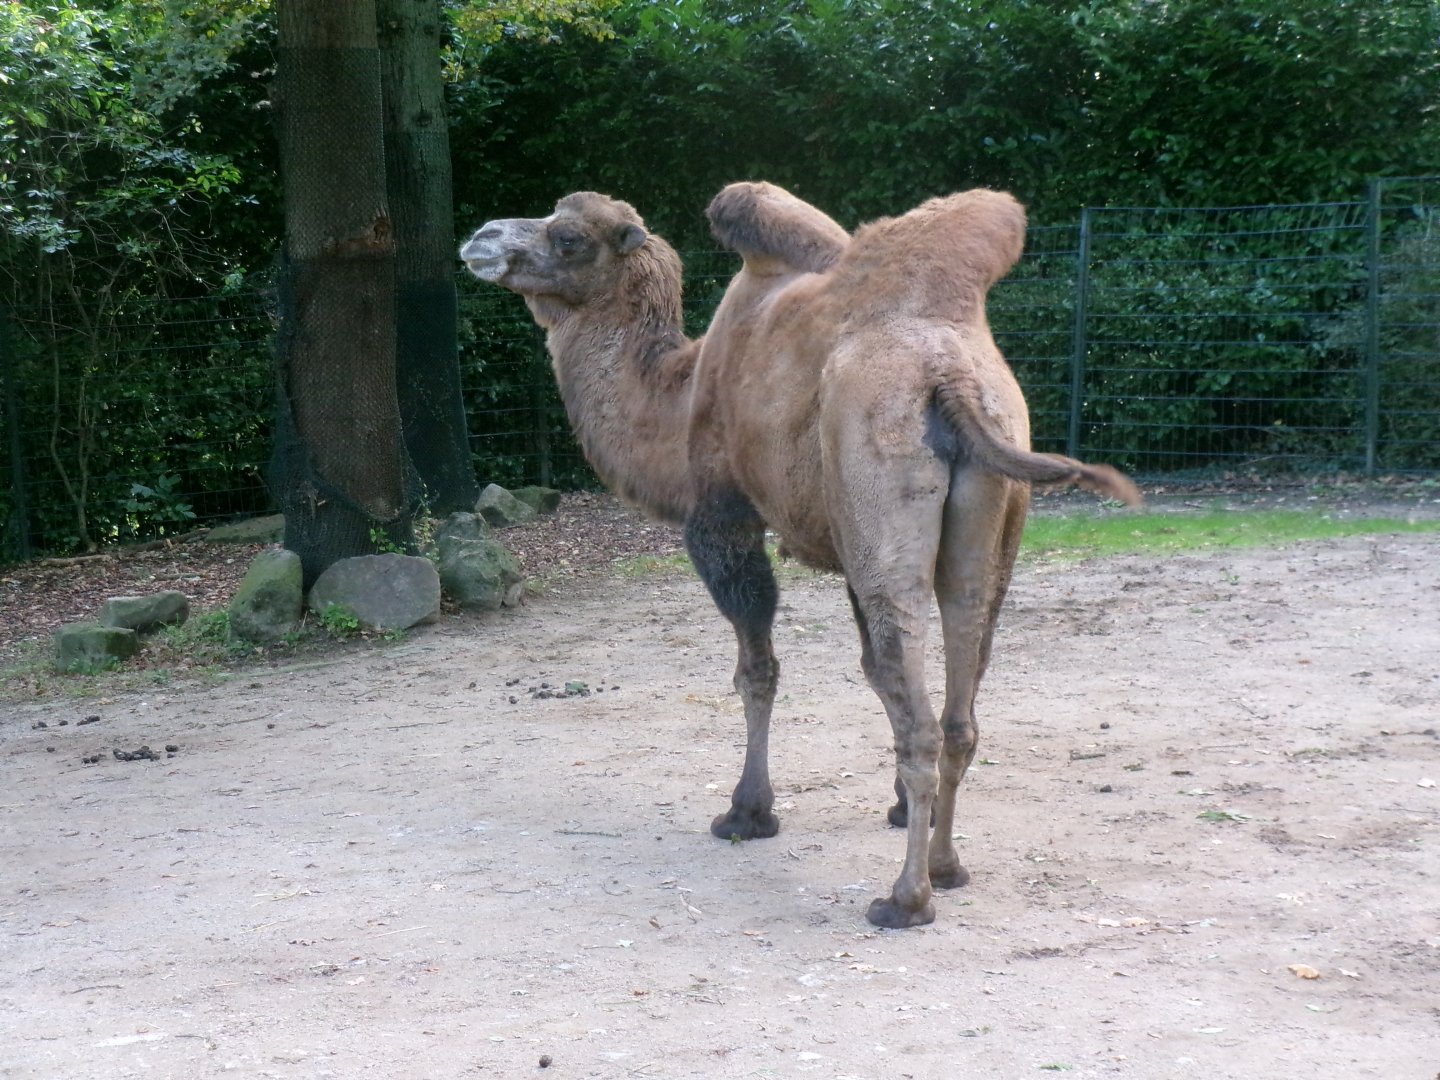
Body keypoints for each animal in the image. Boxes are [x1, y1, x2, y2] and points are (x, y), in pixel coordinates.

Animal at [460, 183, 1141, 929]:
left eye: (570, 239)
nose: (482, 237)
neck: (680, 394)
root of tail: (949, 375)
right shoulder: (843, 544)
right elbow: (873, 672)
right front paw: (899, 809)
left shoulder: (722, 516)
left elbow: (757, 671)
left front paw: (747, 812)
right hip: (995, 503)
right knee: (959, 695)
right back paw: (947, 865)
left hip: (879, 495)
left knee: (921, 719)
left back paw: (906, 898)